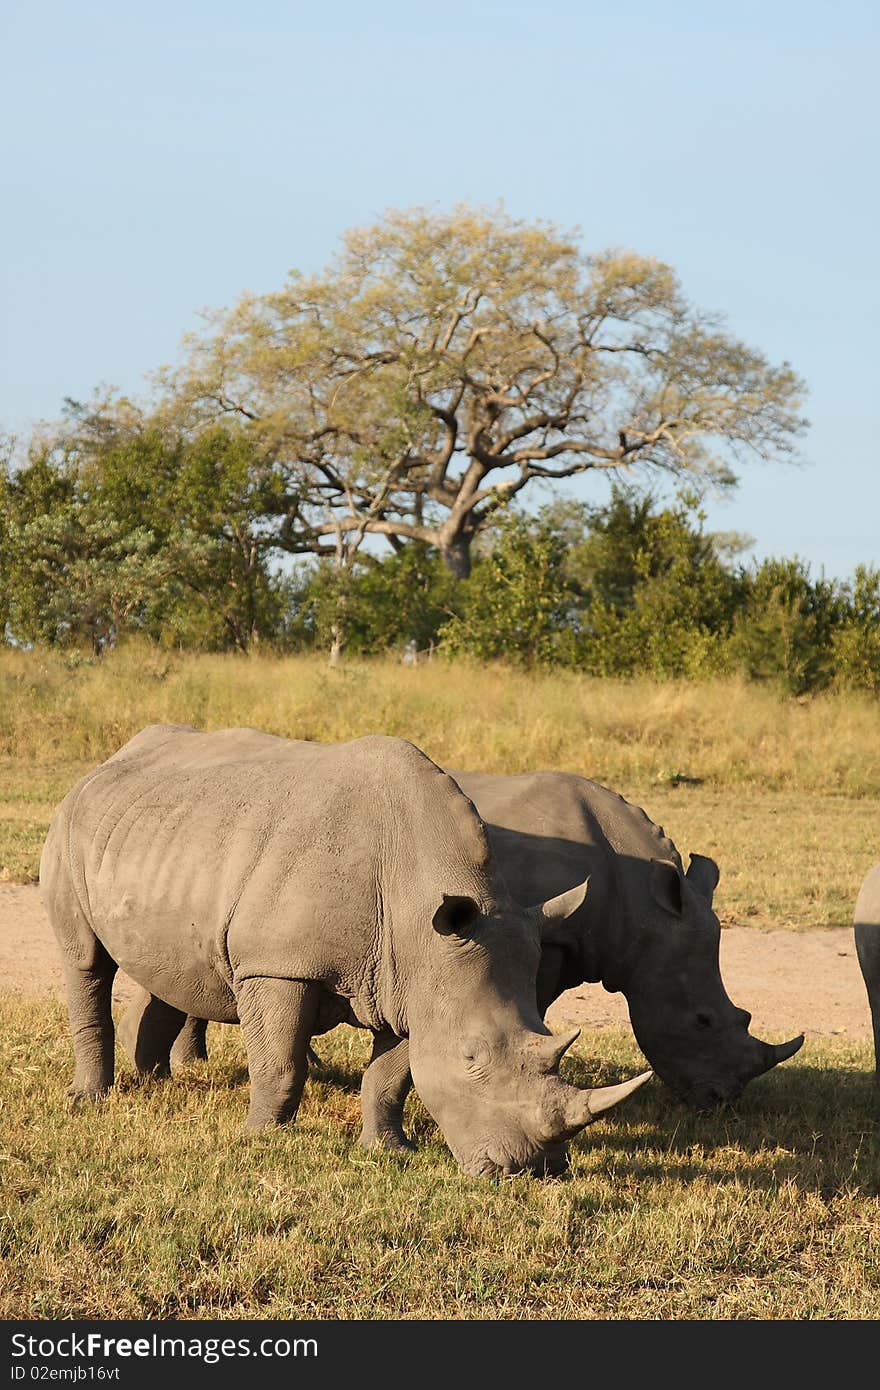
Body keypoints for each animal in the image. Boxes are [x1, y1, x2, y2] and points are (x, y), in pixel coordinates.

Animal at [37, 722, 647, 1178]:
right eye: (471, 1057)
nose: (532, 1171)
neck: (416, 901)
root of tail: (110, 760)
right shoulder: (278, 966)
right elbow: (280, 1063)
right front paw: (261, 1139)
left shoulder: (412, 982)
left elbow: (393, 1075)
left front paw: (387, 1150)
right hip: (67, 826)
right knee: (86, 960)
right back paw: (90, 1100)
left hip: (164, 838)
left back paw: (157, 1081)